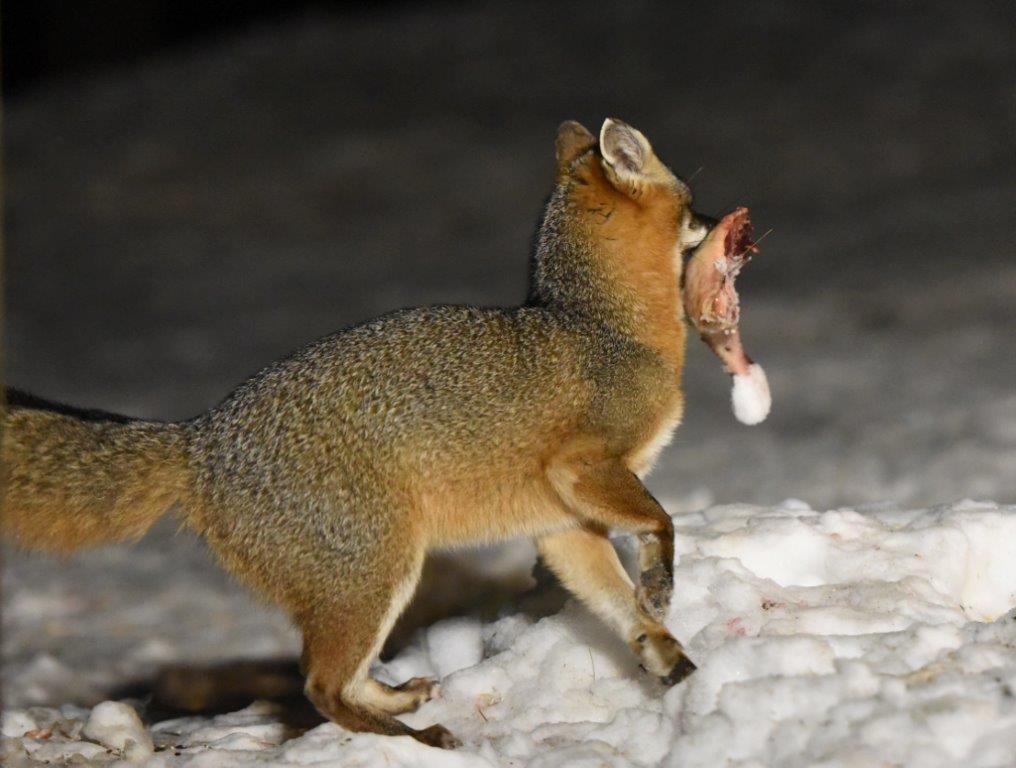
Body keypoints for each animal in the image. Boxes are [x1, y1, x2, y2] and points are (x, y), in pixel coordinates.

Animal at [2, 118, 714, 749]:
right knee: (317, 685)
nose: (714, 223)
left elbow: (620, 608)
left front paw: (664, 654)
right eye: (689, 201)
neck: (605, 326)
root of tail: (199, 437)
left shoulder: (562, 525)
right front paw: (661, 583)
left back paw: (396, 705)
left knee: (335, 679)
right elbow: (660, 522)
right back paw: (412, 739)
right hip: (378, 573)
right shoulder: (584, 467)